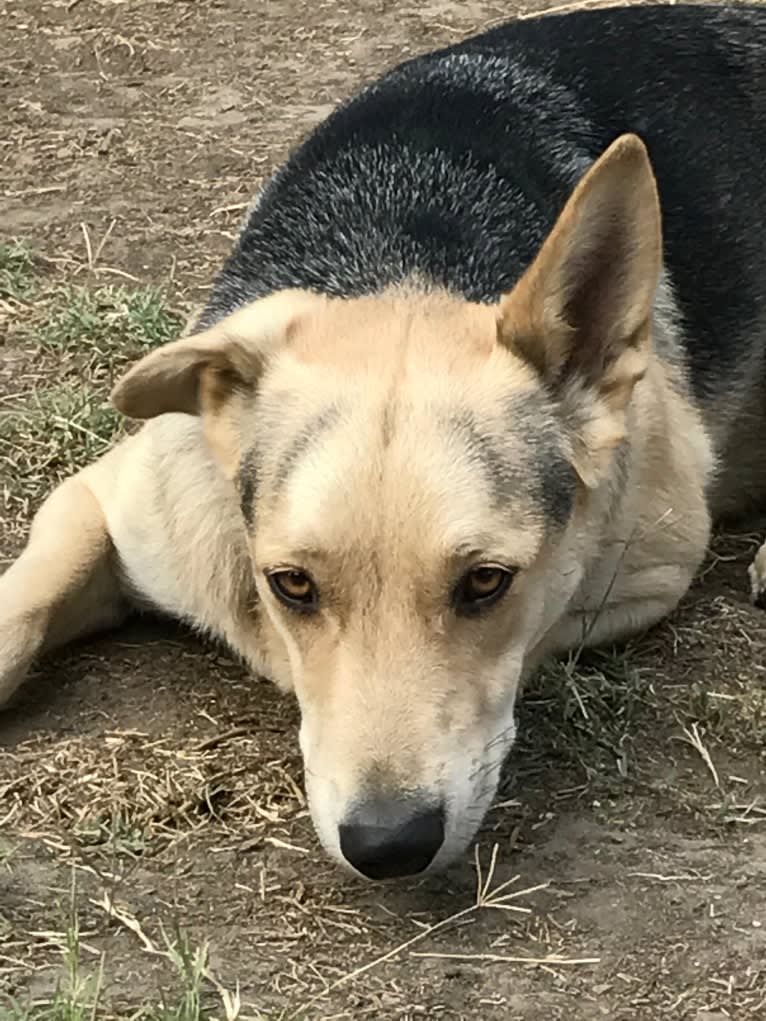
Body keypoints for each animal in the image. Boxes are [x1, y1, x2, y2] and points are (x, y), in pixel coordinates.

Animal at [1, 1, 766, 878]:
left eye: (486, 583)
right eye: (292, 585)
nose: (387, 845)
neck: (401, 261)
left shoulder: (650, 566)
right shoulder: (110, 497)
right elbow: (22, 608)